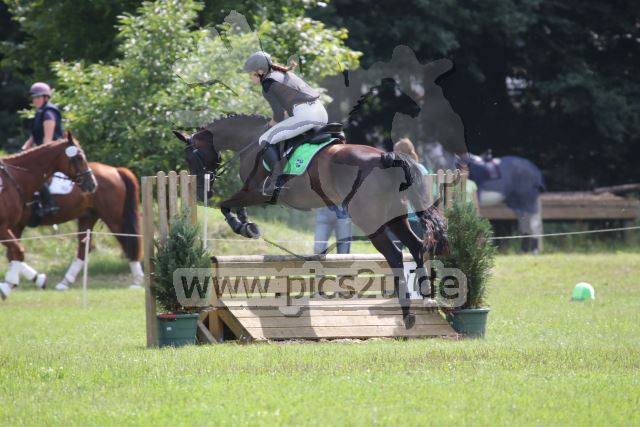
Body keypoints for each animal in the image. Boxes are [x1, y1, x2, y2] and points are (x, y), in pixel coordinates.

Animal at [0, 131, 98, 300]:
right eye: (79, 157)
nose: (92, 184)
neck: (13, 179)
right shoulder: (4, 227)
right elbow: (18, 252)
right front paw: (7, 286)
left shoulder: (9, 227)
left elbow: (15, 253)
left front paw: (33, 280)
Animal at [10, 162, 142, 290]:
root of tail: (116, 170)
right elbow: (14, 254)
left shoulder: (14, 226)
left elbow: (14, 254)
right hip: (88, 217)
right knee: (84, 249)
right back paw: (65, 282)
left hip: (113, 219)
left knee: (128, 242)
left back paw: (137, 281)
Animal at [173, 114, 450, 328]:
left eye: (189, 156)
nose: (201, 192)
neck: (252, 142)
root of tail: (387, 158)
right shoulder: (250, 193)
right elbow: (233, 205)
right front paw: (247, 224)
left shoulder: (256, 191)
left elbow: (226, 204)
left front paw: (243, 227)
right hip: (395, 216)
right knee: (416, 246)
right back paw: (426, 297)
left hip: (370, 219)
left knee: (394, 255)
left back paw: (407, 312)